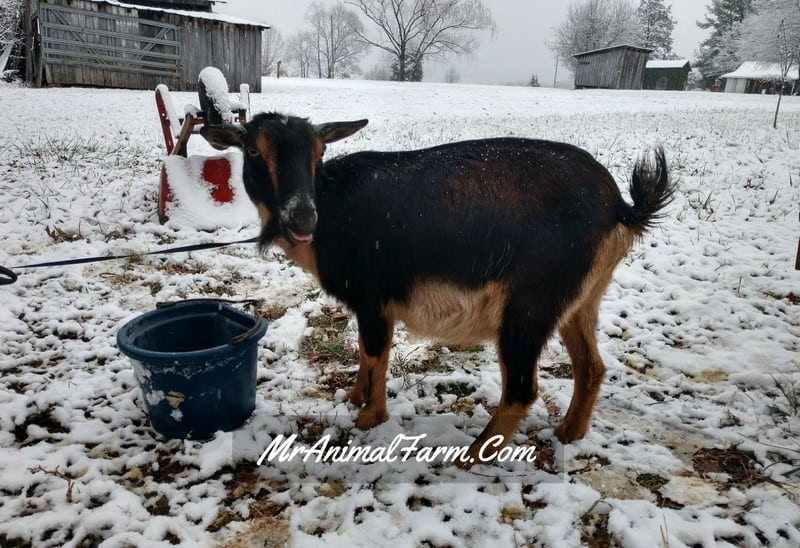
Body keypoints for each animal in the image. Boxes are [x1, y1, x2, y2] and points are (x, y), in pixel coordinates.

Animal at [202, 112, 676, 466]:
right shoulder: (371, 306)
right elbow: (365, 352)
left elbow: (375, 353)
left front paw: (369, 417)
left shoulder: (374, 298)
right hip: (580, 299)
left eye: (318, 152)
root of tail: (621, 208)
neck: (332, 207)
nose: (302, 218)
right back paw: (568, 433)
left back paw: (474, 454)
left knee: (522, 388)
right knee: (591, 367)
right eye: (252, 150)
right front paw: (354, 396)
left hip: (529, 305)